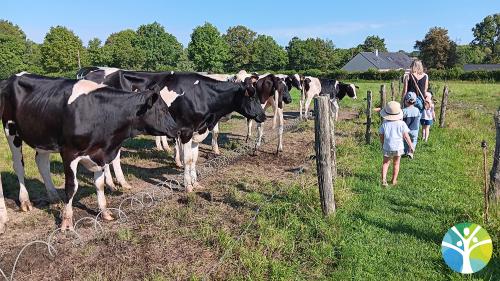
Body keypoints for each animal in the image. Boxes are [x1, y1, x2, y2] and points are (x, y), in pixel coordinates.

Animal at [0, 72, 178, 230]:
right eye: (162, 110)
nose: (177, 130)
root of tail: (12, 77)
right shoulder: (69, 152)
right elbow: (71, 186)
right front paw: (66, 221)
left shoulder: (100, 153)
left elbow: (99, 184)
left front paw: (105, 213)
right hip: (11, 130)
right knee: (19, 165)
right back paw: (25, 201)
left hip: (43, 136)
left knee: (42, 162)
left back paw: (53, 196)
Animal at [77, 68, 266, 192]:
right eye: (253, 98)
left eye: (259, 96)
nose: (263, 116)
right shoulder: (186, 130)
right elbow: (188, 159)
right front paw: (188, 186)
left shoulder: (198, 130)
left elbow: (194, 159)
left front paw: (196, 183)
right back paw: (114, 183)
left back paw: (117, 183)